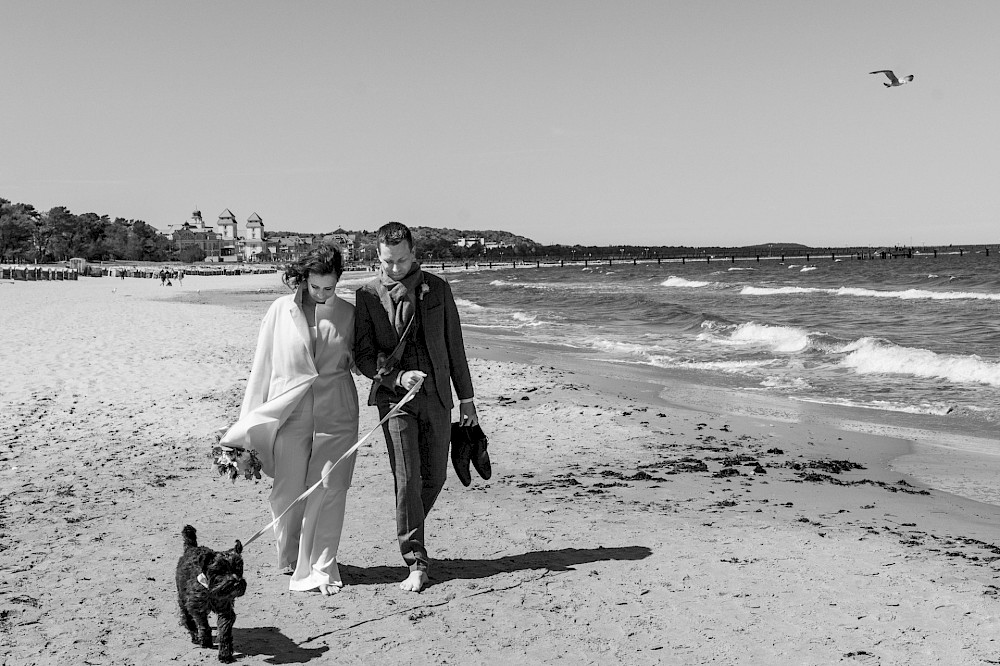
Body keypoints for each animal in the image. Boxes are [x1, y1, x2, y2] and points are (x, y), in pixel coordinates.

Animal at [175, 524, 247, 660]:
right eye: (221, 571)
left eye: (238, 569)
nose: (236, 583)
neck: (213, 590)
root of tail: (191, 547)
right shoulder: (197, 607)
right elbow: (203, 625)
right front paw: (206, 641)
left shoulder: (225, 609)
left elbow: (224, 630)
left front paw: (225, 653)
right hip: (182, 598)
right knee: (187, 617)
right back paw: (194, 636)